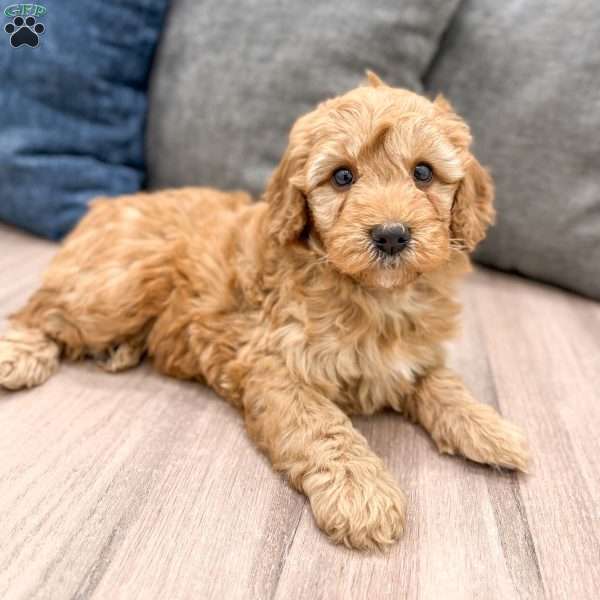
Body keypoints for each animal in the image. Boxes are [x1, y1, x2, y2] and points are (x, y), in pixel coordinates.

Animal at [0, 74, 528, 548]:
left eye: (423, 173)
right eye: (342, 176)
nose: (392, 234)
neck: (374, 294)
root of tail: (106, 205)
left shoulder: (415, 355)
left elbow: (443, 384)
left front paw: (491, 428)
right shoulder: (275, 366)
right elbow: (324, 429)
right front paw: (361, 494)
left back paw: (119, 350)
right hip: (119, 286)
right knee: (42, 309)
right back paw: (22, 353)